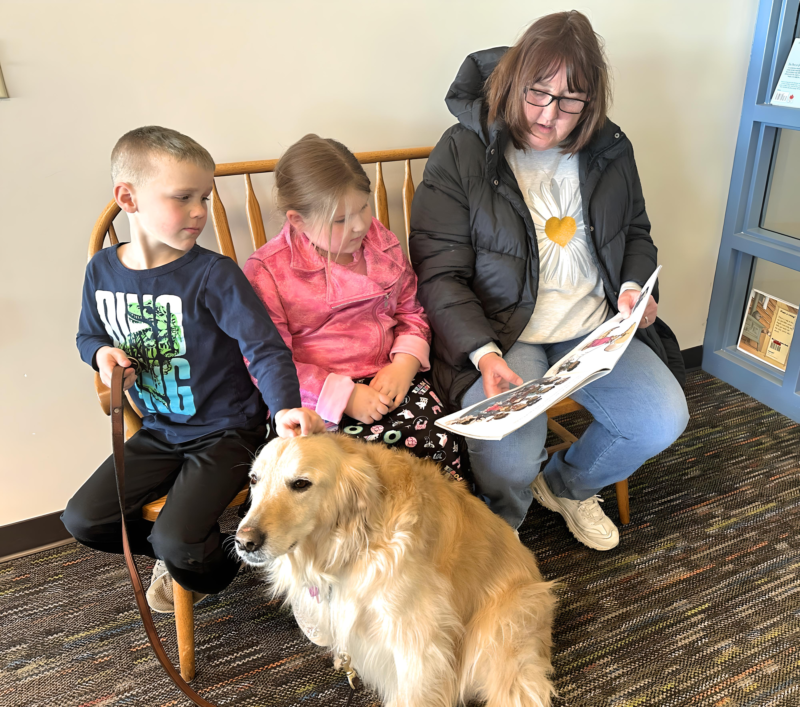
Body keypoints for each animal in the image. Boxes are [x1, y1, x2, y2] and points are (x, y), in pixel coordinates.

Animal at [234, 434, 552, 704]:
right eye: (254, 479)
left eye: (301, 484)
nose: (244, 542)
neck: (352, 545)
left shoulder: (419, 645)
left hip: (499, 640)